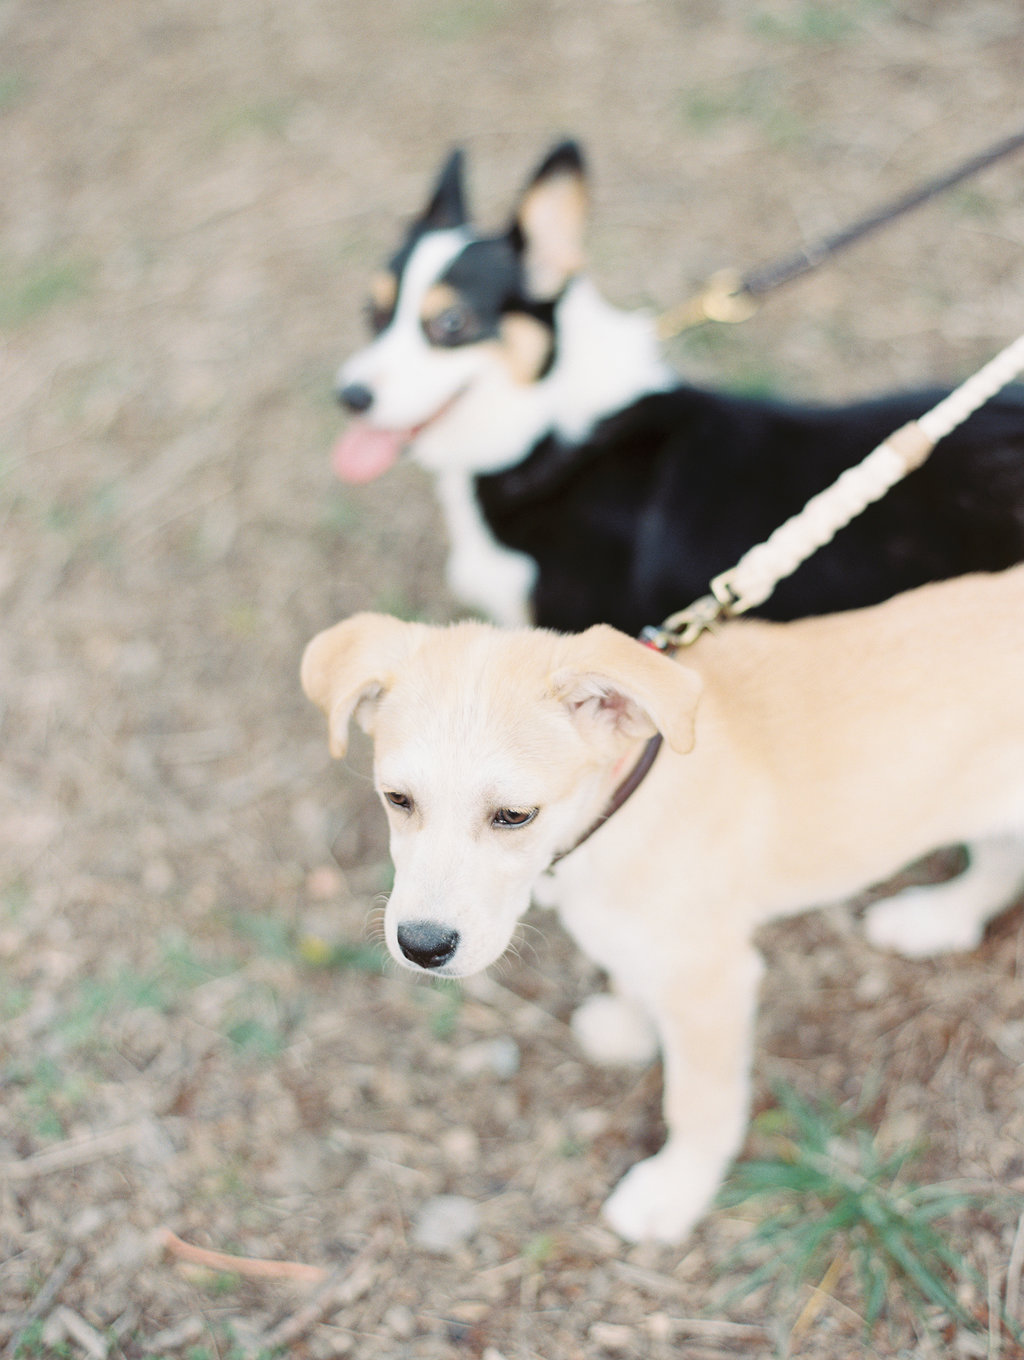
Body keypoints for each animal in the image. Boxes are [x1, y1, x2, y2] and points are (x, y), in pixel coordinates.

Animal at [299, 563, 1022, 1245]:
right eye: (397, 799)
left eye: (515, 815)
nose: (421, 946)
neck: (614, 817)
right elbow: (629, 970)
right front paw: (629, 1024)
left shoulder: (711, 982)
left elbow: (698, 1105)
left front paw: (675, 1191)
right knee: (997, 864)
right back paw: (939, 918)